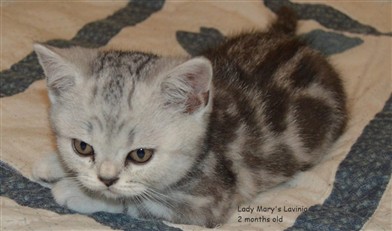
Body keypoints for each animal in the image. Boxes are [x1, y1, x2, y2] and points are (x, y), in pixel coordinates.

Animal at [33, 8, 346, 228]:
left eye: (141, 155)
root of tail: (293, 42)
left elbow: (138, 201)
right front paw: (56, 164)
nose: (106, 179)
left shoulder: (209, 202)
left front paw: (76, 192)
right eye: (82, 147)